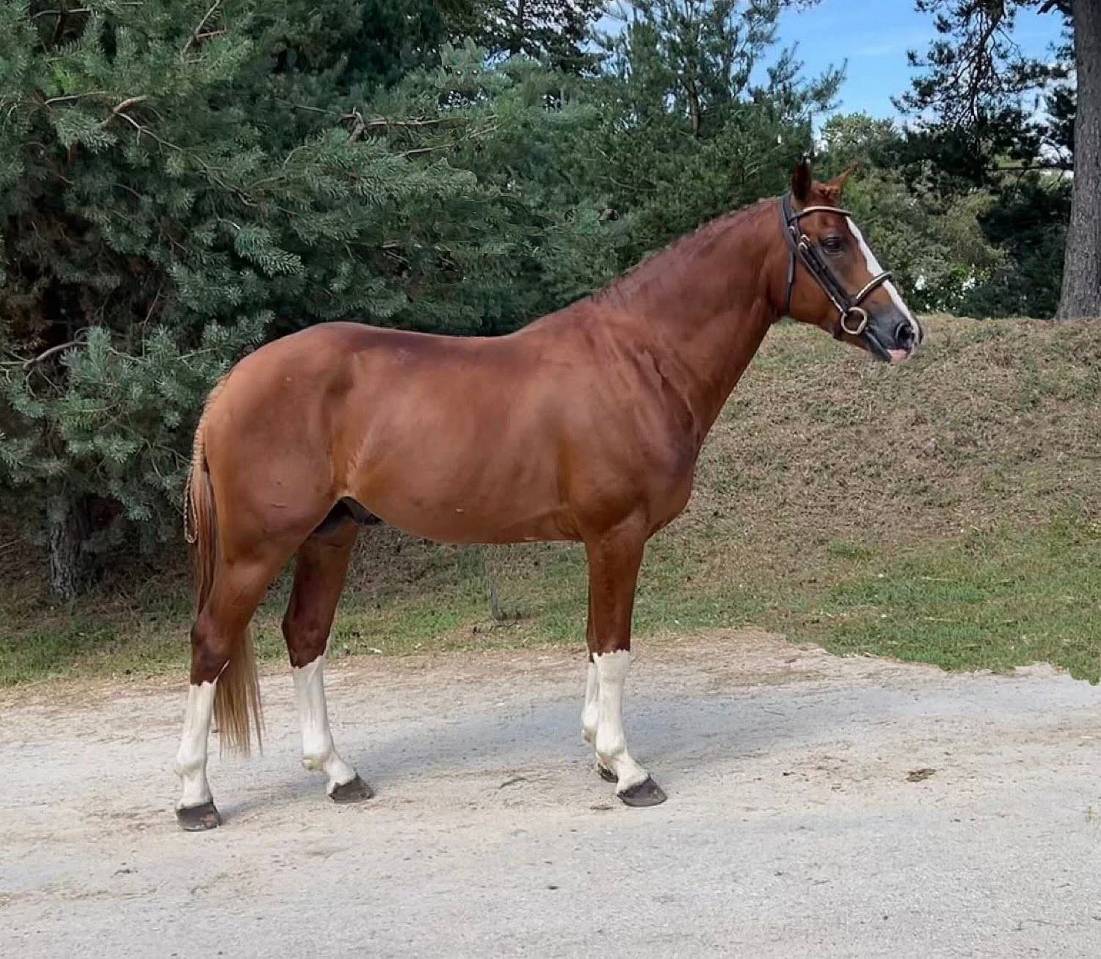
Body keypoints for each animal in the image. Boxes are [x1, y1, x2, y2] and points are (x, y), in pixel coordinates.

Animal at [174, 158, 921, 830]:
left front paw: (599, 753)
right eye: (831, 241)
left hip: (330, 533)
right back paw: (194, 798)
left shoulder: (602, 541)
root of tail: (230, 384)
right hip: (257, 547)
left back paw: (338, 774)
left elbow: (594, 642)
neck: (641, 360)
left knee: (305, 636)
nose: (904, 331)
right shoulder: (617, 534)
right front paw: (628, 771)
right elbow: (614, 648)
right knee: (212, 640)